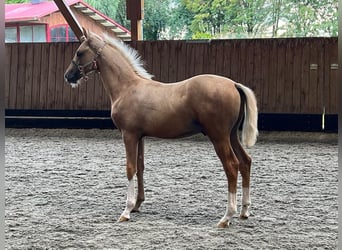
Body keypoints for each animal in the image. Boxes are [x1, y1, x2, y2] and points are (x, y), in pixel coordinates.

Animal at [64, 30, 258, 228]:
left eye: (79, 52)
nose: (68, 76)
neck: (127, 86)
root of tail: (234, 84)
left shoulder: (128, 135)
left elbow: (130, 168)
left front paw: (126, 211)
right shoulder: (140, 136)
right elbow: (140, 167)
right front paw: (137, 205)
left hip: (219, 137)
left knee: (232, 166)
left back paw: (227, 216)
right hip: (231, 135)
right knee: (245, 162)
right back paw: (244, 211)